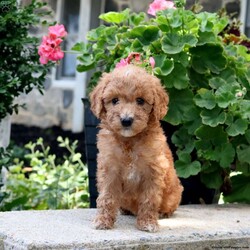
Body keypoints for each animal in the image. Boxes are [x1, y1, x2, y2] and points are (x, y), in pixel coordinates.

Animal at [90, 64, 184, 232]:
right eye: (115, 100)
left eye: (140, 101)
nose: (126, 120)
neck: (129, 141)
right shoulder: (109, 168)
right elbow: (106, 197)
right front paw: (102, 220)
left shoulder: (153, 170)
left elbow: (149, 199)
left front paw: (147, 222)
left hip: (174, 193)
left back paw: (163, 213)